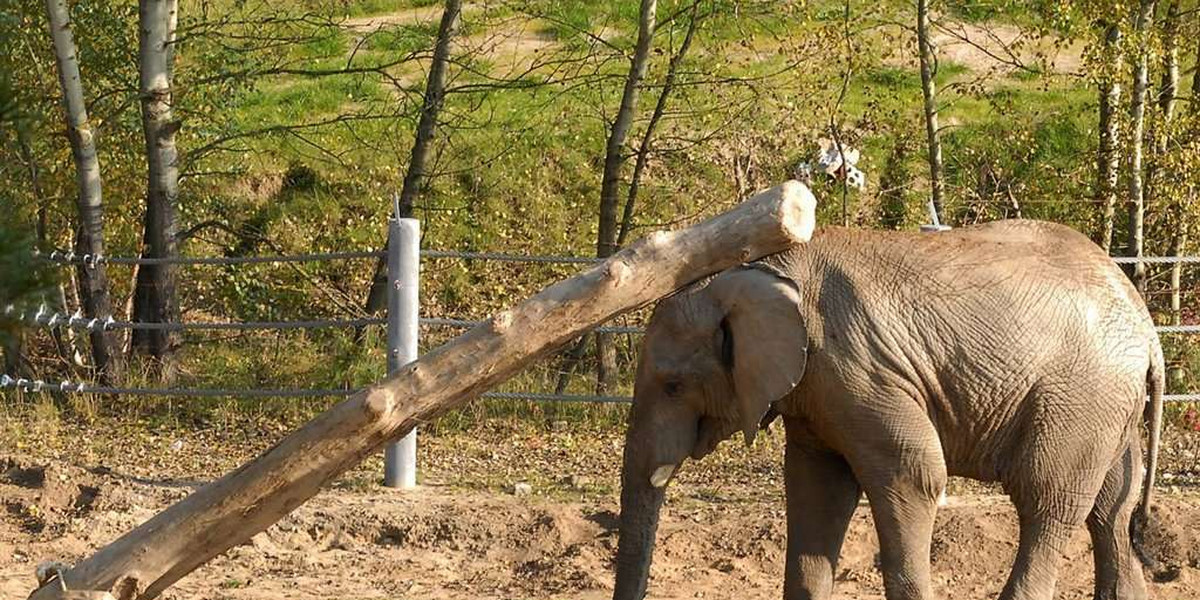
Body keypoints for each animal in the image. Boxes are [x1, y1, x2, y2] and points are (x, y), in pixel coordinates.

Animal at [609, 219, 1161, 600]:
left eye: (673, 386)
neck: (757, 269)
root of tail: (1145, 322)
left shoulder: (859, 368)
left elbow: (914, 474)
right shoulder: (817, 392)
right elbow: (816, 488)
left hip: (1081, 397)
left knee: (1047, 502)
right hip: (1110, 409)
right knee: (1111, 509)